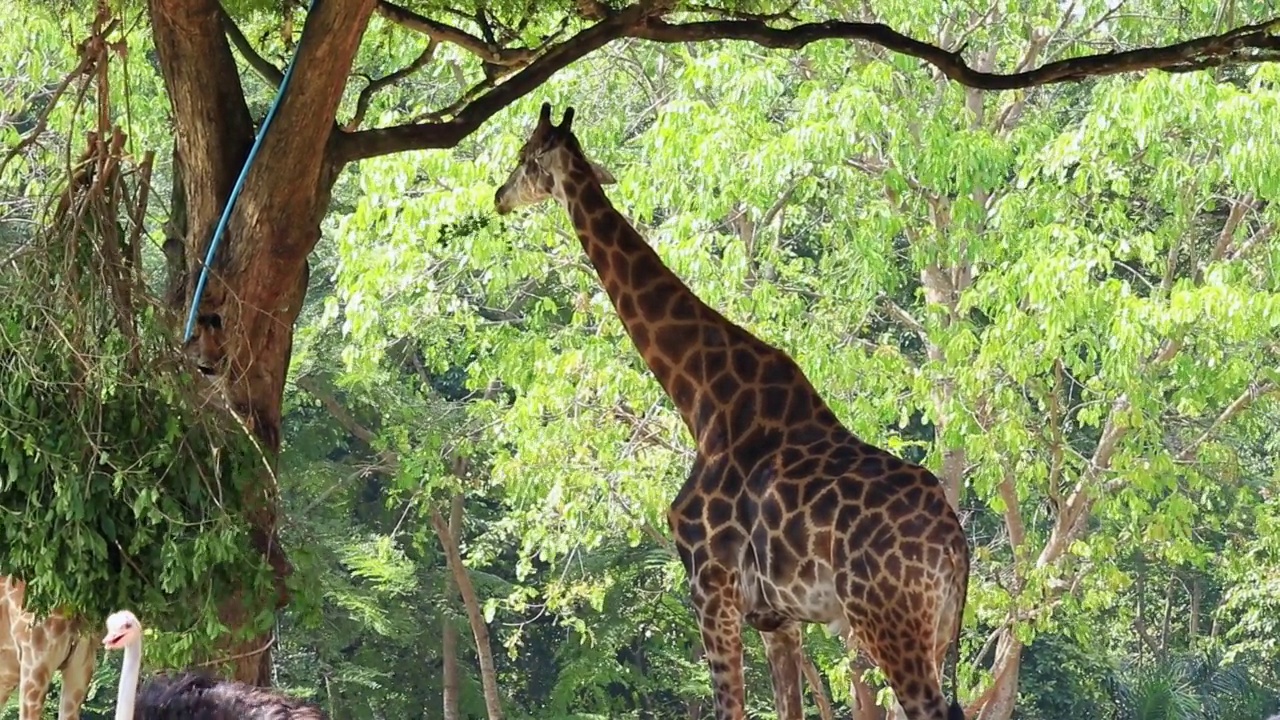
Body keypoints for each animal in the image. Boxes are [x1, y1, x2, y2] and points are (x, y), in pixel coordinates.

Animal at [499, 102, 967, 717]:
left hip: (886, 617)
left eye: (526, 157)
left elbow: (731, 707)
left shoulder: (710, 586)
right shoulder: (778, 619)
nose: (499, 196)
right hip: (933, 628)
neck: (702, 399)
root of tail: (955, 546)